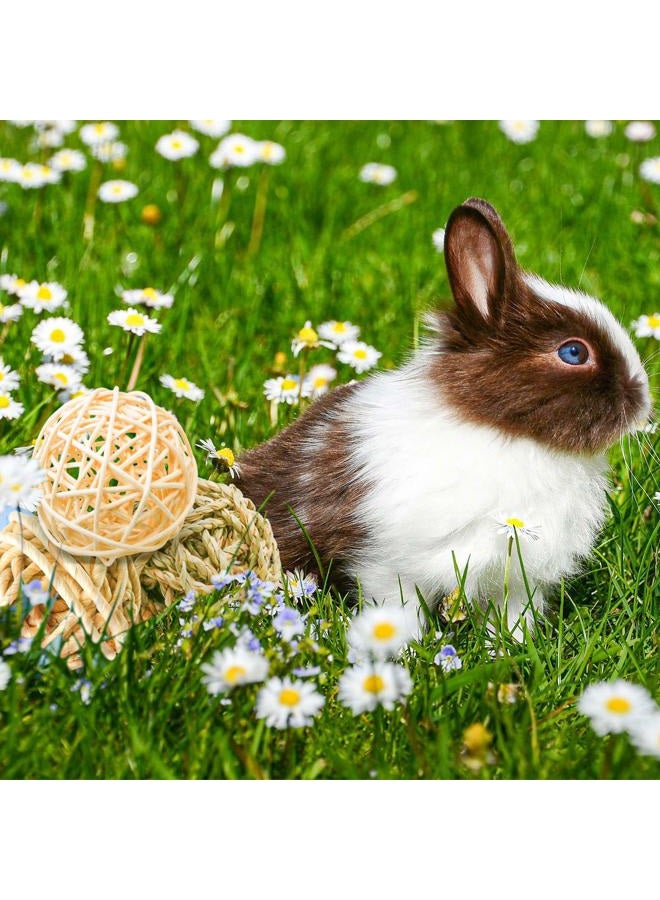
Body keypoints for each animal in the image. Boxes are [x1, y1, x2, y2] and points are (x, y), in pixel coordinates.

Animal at [236, 198, 652, 639]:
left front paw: (508, 646)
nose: (643, 400)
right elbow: (396, 609)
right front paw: (403, 647)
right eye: (574, 352)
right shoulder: (388, 564)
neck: (504, 432)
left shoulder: (519, 579)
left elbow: (513, 617)